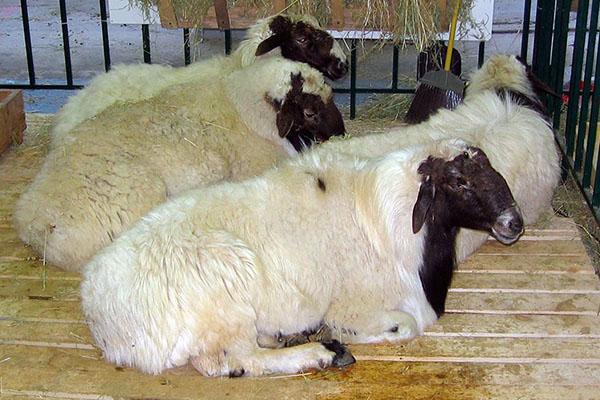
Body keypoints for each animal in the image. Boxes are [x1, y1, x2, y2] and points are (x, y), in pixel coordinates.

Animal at [82, 137, 524, 376]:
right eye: (459, 181)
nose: (514, 222)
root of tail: (104, 316)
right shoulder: (356, 307)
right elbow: (405, 326)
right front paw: (334, 336)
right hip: (225, 296)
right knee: (233, 361)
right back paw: (320, 353)